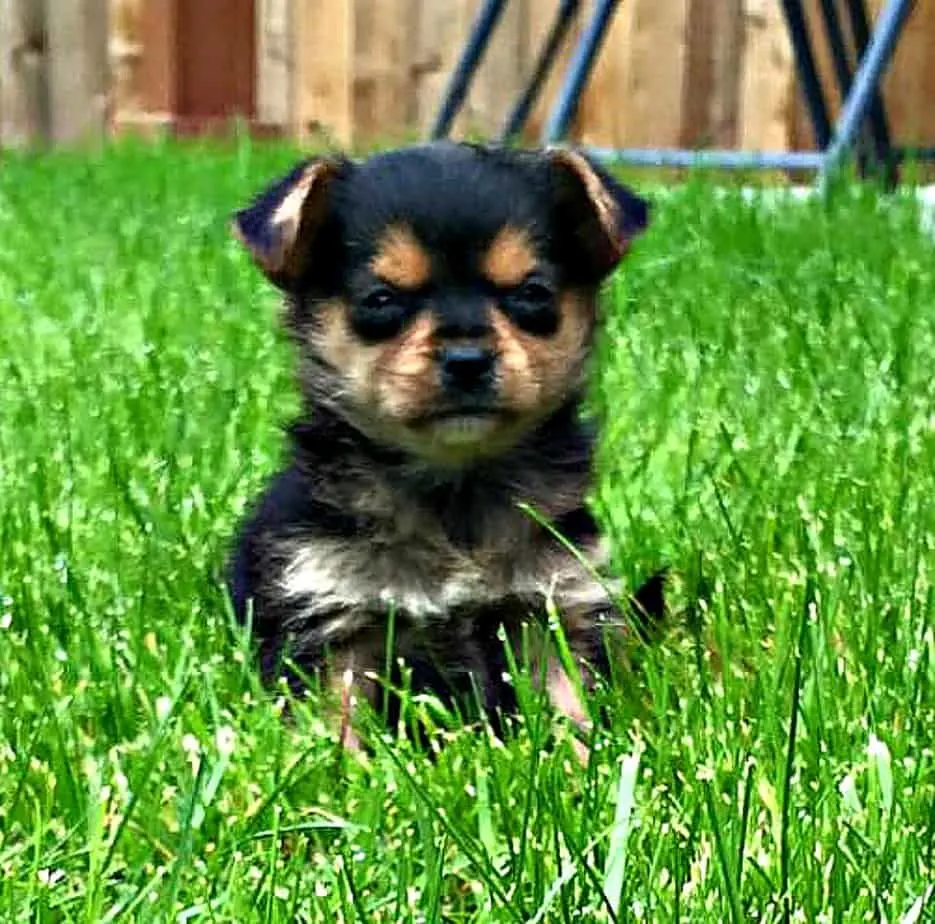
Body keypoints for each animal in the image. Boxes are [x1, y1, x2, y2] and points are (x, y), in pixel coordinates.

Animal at [228, 139, 660, 756]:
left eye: (533, 294)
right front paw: (343, 774)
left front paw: (581, 762)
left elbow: (565, 703)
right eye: (380, 299)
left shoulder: (547, 606)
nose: (467, 359)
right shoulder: (331, 619)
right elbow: (336, 723)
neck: (455, 486)